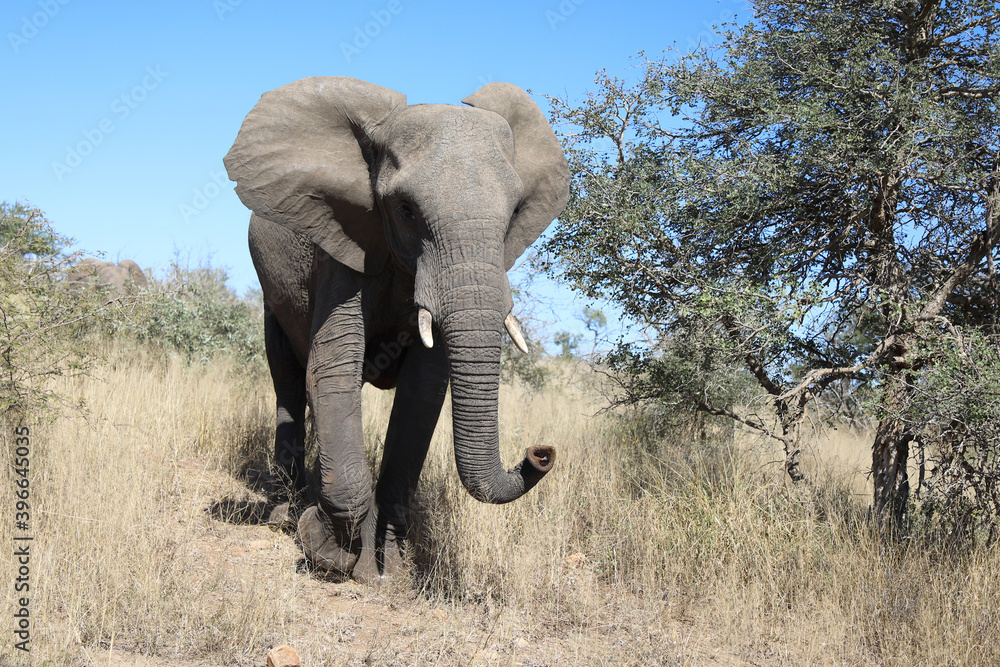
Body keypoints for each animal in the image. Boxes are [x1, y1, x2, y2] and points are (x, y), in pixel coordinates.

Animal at [224, 76, 569, 581]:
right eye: (405, 209)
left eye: (513, 214)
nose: (540, 453)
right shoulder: (344, 246)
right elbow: (332, 371)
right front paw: (330, 548)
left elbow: (421, 395)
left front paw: (389, 569)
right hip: (272, 288)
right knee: (287, 376)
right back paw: (286, 511)